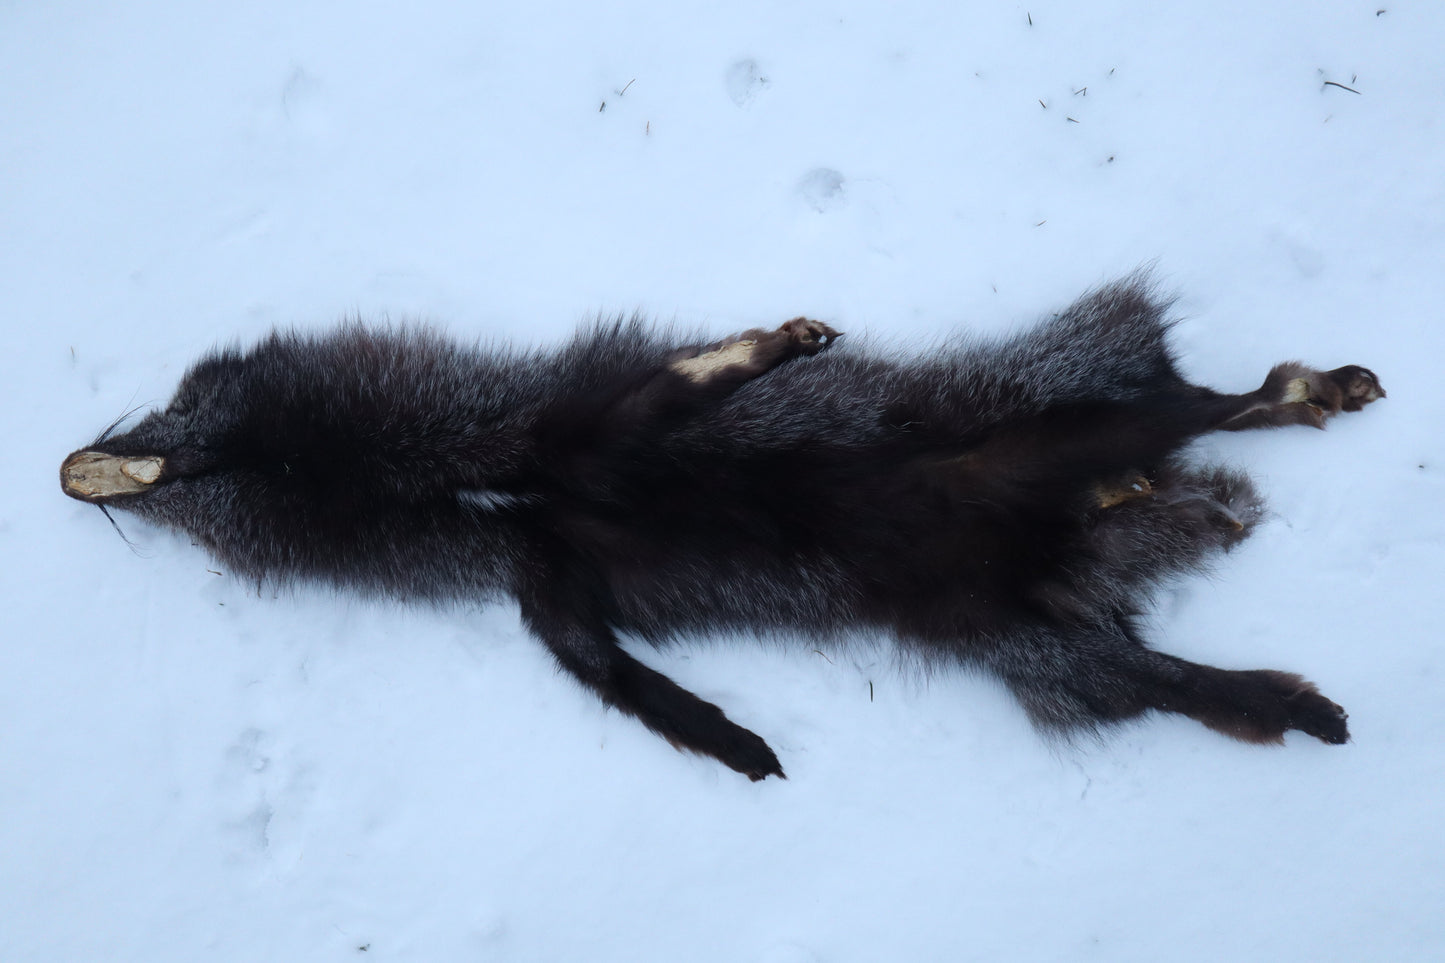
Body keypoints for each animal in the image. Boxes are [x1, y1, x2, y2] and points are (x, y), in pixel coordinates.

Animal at [61, 278, 1384, 780]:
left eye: (196, 386)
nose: (75, 473)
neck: (467, 490)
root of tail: (1093, 514)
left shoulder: (579, 449)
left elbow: (683, 384)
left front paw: (773, 346)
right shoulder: (548, 587)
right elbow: (619, 682)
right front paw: (736, 745)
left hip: (1072, 441)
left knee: (1212, 404)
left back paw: (1312, 395)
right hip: (1023, 630)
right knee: (1167, 680)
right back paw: (1291, 704)